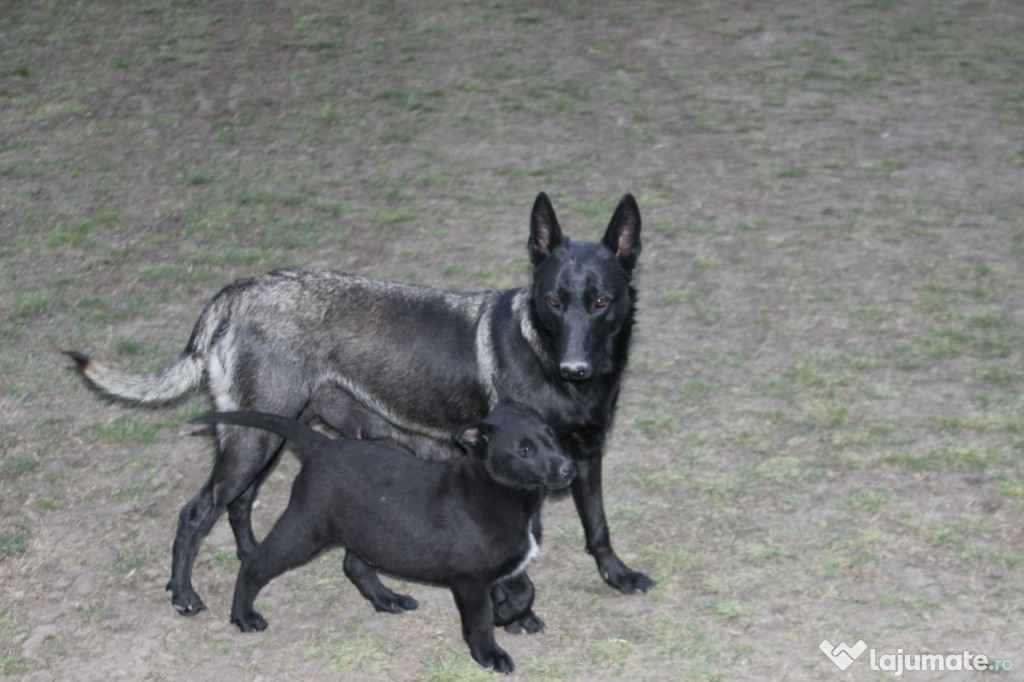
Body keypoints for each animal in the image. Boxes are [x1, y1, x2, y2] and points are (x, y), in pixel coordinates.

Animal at [66, 188, 655, 630]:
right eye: (553, 301)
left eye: (601, 301)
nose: (576, 368)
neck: (546, 356)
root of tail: (236, 292)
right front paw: (516, 615)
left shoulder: (584, 458)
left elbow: (598, 525)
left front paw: (617, 575)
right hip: (254, 442)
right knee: (197, 512)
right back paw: (184, 592)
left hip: (271, 435)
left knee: (240, 504)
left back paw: (259, 558)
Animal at [192, 401, 577, 671]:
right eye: (524, 450)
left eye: (551, 436)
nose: (568, 467)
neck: (501, 492)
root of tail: (320, 445)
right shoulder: (469, 578)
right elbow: (480, 620)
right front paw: (490, 653)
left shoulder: (505, 563)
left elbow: (525, 590)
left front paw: (508, 613)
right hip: (304, 529)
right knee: (255, 562)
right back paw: (243, 616)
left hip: (364, 529)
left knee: (355, 566)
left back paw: (388, 599)